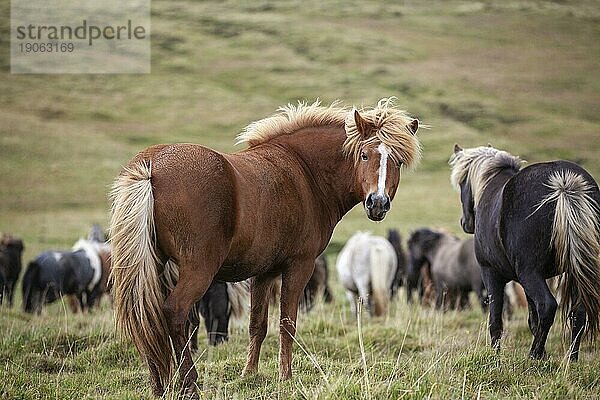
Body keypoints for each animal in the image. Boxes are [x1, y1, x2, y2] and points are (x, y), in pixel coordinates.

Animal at [111, 98, 422, 398]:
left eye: (397, 161)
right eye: (365, 155)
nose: (377, 203)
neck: (304, 172)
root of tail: (151, 165)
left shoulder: (264, 273)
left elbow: (257, 325)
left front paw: (249, 374)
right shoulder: (298, 266)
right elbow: (287, 322)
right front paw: (286, 377)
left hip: (155, 268)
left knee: (147, 316)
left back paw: (158, 386)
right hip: (197, 269)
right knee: (174, 313)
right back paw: (190, 385)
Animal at [450, 145, 600, 360]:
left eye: (462, 182)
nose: (465, 222)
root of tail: (562, 185)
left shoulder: (491, 273)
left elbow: (495, 320)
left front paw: (495, 357)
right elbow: (532, 320)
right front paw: (544, 353)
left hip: (530, 273)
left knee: (547, 306)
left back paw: (533, 355)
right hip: (571, 271)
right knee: (578, 313)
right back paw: (571, 359)